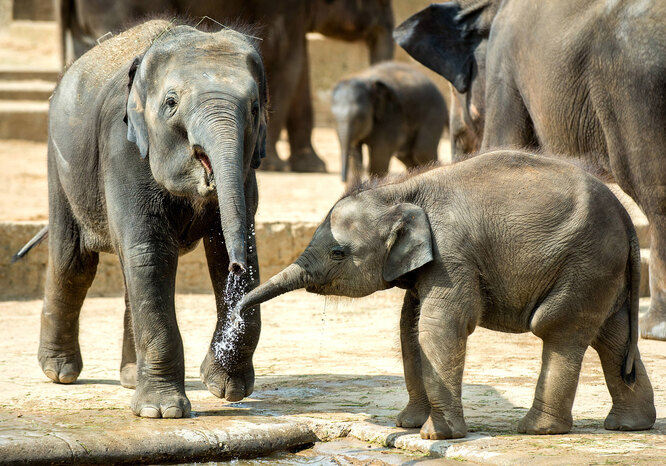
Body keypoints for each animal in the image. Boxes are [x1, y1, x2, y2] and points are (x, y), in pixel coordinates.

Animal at [28, 19, 268, 418]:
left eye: (254, 108)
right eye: (171, 103)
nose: (238, 270)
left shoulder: (247, 170)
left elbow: (225, 247)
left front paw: (224, 387)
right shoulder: (121, 146)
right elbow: (150, 253)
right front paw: (163, 412)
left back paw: (128, 377)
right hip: (58, 164)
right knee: (73, 262)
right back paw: (59, 372)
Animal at [236, 150, 652, 440]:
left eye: (338, 253)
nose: (237, 308)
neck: (401, 189)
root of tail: (627, 218)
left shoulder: (452, 256)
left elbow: (439, 327)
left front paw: (436, 436)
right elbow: (409, 328)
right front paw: (407, 425)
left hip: (585, 261)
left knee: (558, 328)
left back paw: (538, 430)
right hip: (602, 270)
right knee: (612, 336)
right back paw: (630, 425)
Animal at [392, 0, 664, 338]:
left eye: (456, 90)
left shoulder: (504, 60)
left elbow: (503, 142)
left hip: (632, 86)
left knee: (650, 187)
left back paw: (654, 329)